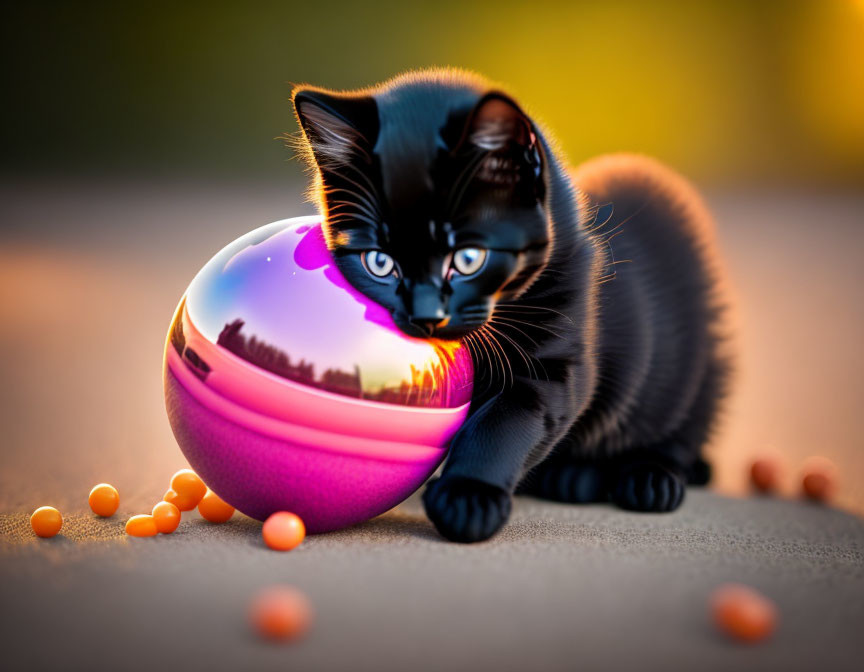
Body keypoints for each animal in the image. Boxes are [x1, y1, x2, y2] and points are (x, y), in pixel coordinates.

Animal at [290, 67, 728, 540]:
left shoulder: (553, 363)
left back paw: (649, 478)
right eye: (379, 262)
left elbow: (505, 422)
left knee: (682, 427)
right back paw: (574, 478)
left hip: (699, 368)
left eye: (467, 258)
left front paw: (469, 496)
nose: (426, 317)